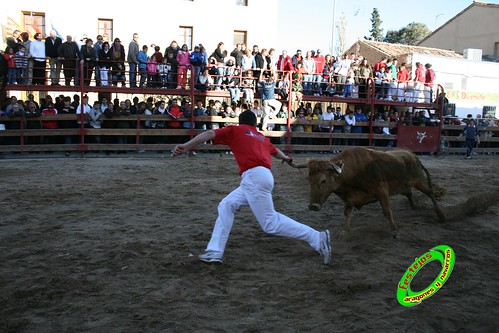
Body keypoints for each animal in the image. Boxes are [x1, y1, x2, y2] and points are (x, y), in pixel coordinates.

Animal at [290, 147, 450, 230]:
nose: (313, 206)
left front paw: (394, 230)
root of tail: (412, 155)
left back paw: (441, 215)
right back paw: (414, 207)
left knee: (430, 193)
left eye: (323, 180)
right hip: (403, 185)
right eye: (309, 180)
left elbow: (387, 211)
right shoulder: (349, 198)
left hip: (419, 181)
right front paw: (345, 233)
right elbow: (346, 215)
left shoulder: (382, 191)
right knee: (409, 193)